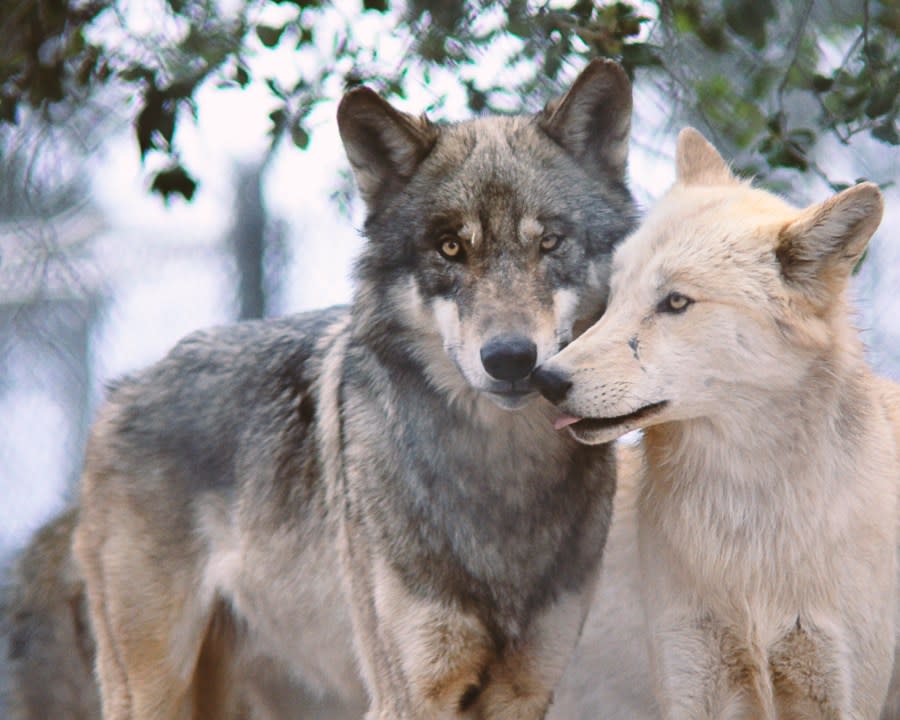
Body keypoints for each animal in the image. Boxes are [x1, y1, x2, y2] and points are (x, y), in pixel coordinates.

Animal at [70, 60, 636, 720]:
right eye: (450, 247)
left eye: (550, 242)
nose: (510, 359)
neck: (503, 478)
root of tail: (121, 390)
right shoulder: (409, 696)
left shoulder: (527, 691)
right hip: (153, 690)